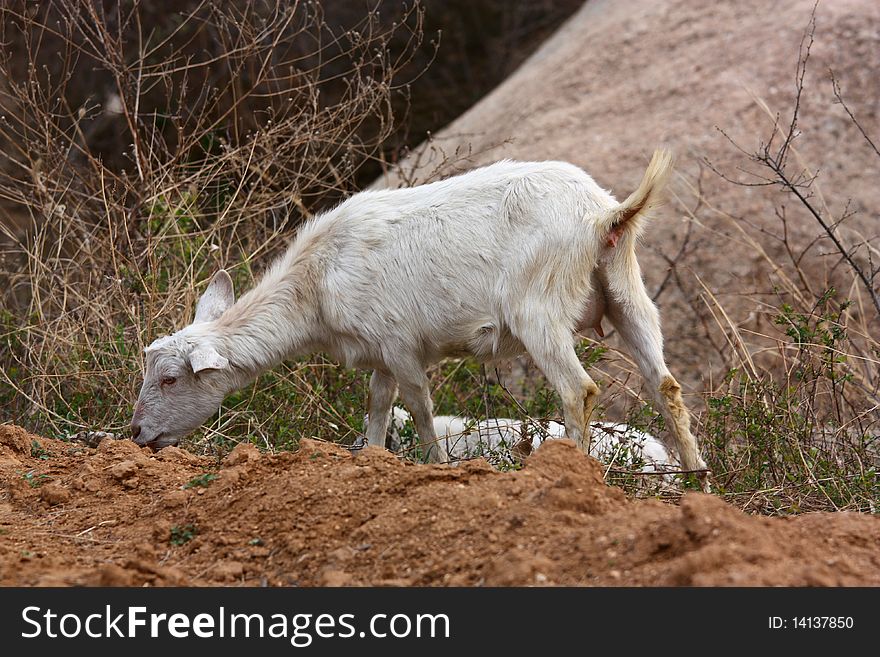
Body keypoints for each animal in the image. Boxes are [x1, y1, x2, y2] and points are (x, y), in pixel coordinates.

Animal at [131, 150, 708, 486]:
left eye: (169, 378)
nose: (137, 434)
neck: (315, 284)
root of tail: (605, 215)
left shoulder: (401, 345)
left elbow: (422, 411)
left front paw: (437, 468)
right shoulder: (380, 356)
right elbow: (378, 410)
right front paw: (374, 459)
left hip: (539, 308)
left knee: (578, 390)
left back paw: (575, 470)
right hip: (626, 291)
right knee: (666, 385)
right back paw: (698, 482)